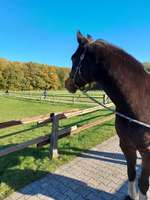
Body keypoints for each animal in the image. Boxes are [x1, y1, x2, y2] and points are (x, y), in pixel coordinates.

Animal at [65, 32, 150, 199]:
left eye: (73, 58)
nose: (67, 83)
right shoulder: (126, 145)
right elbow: (131, 174)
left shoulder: (147, 152)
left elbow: (143, 183)